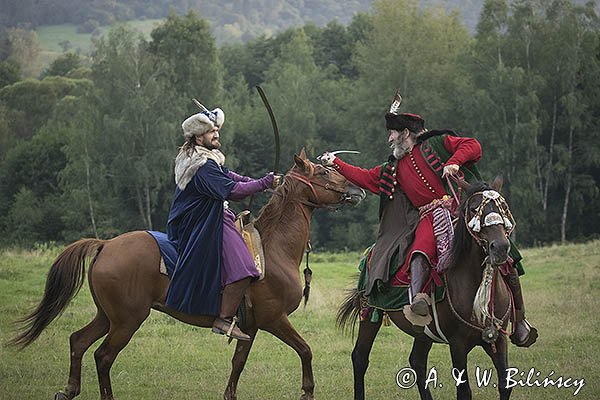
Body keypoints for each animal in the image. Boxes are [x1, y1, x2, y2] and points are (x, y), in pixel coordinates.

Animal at [10, 151, 366, 400]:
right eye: (324, 172)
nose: (357, 190)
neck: (274, 248)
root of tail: (106, 245)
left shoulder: (249, 326)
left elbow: (238, 363)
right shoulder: (274, 319)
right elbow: (305, 349)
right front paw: (307, 390)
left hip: (108, 316)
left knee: (78, 341)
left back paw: (69, 390)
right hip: (127, 321)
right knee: (103, 356)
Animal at [340, 179, 516, 400]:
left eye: (504, 208)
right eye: (474, 209)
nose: (500, 247)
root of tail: (370, 253)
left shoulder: (498, 339)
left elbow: (505, 385)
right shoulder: (458, 344)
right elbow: (464, 391)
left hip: (424, 332)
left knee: (417, 361)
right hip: (370, 314)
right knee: (360, 358)